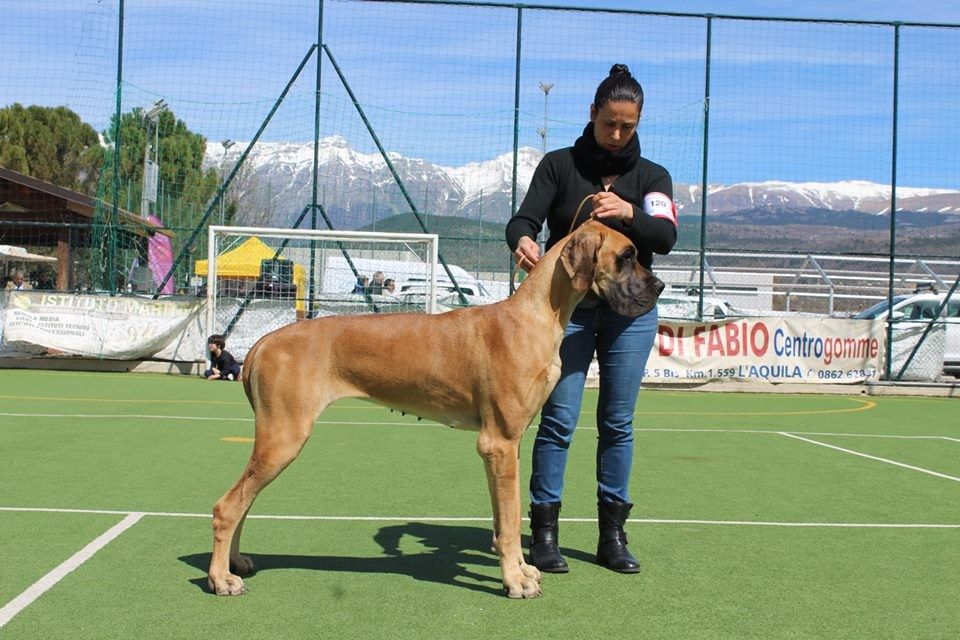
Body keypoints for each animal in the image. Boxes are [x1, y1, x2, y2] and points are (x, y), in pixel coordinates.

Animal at [207, 220, 664, 599]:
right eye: (627, 256)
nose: (659, 286)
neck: (538, 314)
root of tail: (264, 341)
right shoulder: (499, 443)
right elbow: (510, 522)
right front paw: (514, 581)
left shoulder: (506, 447)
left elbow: (509, 515)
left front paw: (521, 570)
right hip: (283, 438)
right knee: (228, 506)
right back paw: (221, 579)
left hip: (275, 442)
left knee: (243, 501)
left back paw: (236, 563)